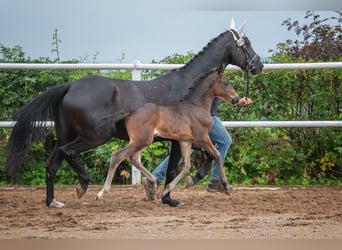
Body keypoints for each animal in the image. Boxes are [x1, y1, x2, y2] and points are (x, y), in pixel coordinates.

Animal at [97, 70, 238, 201]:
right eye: (225, 83)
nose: (236, 98)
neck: (197, 107)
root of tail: (131, 113)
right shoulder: (202, 137)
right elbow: (217, 155)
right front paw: (226, 187)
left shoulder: (185, 141)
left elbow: (187, 166)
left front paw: (165, 191)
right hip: (142, 140)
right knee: (117, 155)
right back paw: (102, 192)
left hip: (143, 141)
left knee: (133, 158)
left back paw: (153, 184)